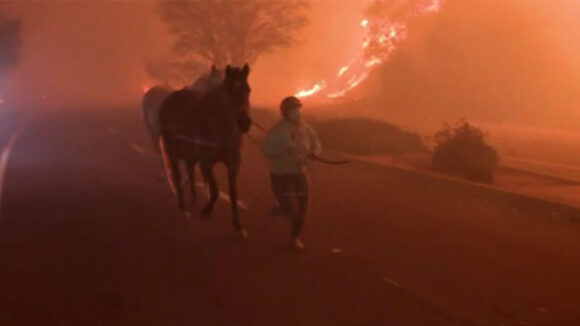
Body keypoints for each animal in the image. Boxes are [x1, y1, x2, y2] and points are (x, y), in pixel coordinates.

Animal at [159, 64, 251, 237]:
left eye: (248, 90)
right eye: (229, 90)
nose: (244, 123)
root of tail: (170, 99)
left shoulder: (233, 164)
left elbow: (233, 195)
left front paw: (238, 226)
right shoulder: (206, 162)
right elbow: (214, 191)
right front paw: (206, 210)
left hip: (189, 154)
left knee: (189, 170)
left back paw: (193, 199)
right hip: (173, 151)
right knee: (177, 175)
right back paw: (183, 207)